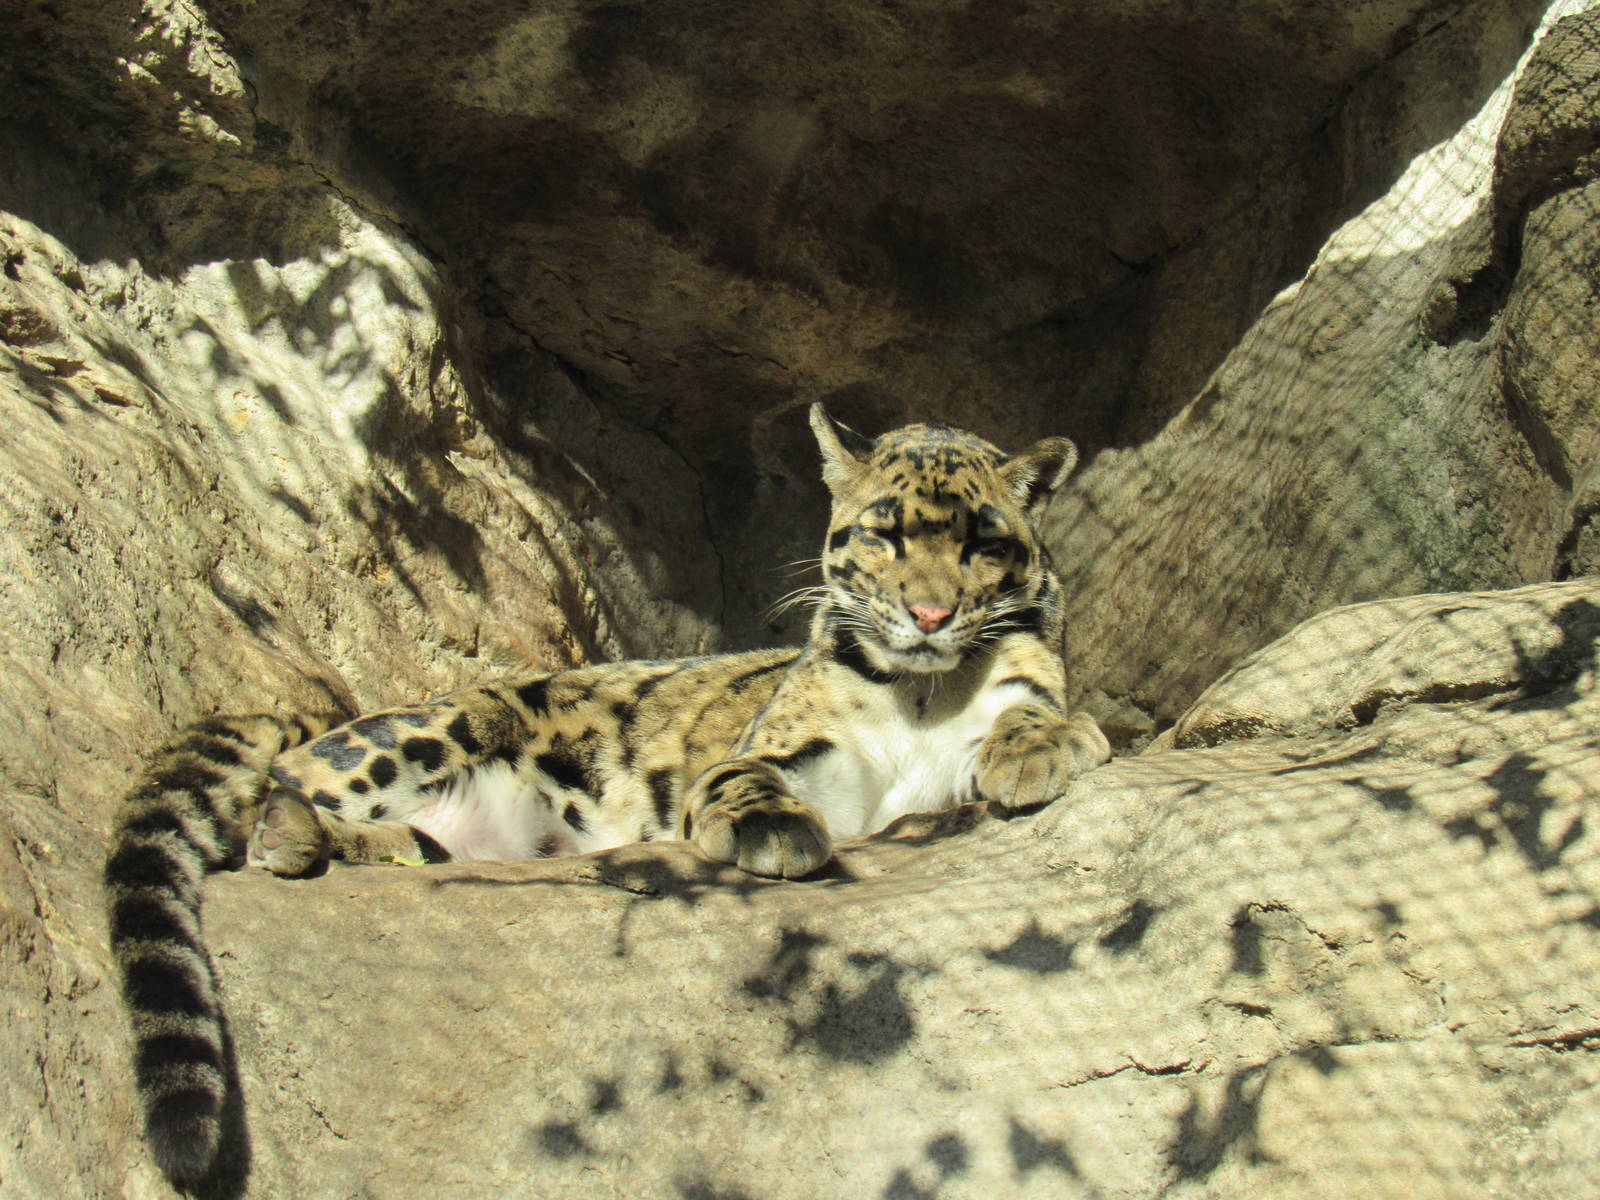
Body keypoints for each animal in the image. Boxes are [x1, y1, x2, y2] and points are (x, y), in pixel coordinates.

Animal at [103, 403, 1111, 1187]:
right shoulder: (781, 750)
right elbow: (747, 779)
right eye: (885, 532)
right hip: (441, 724)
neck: (921, 690)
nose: (931, 615)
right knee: (271, 794)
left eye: (983, 543)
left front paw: (1041, 747)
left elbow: (1038, 711)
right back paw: (291, 827)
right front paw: (775, 829)